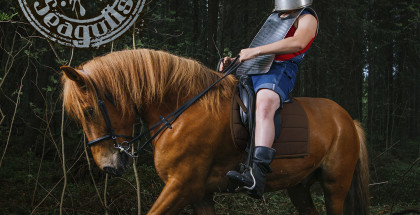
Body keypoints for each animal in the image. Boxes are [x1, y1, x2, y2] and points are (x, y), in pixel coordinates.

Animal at [60, 49, 370, 215]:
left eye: (89, 110)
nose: (108, 166)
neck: (181, 111)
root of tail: (348, 120)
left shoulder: (181, 186)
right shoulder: (200, 194)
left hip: (334, 186)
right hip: (299, 187)